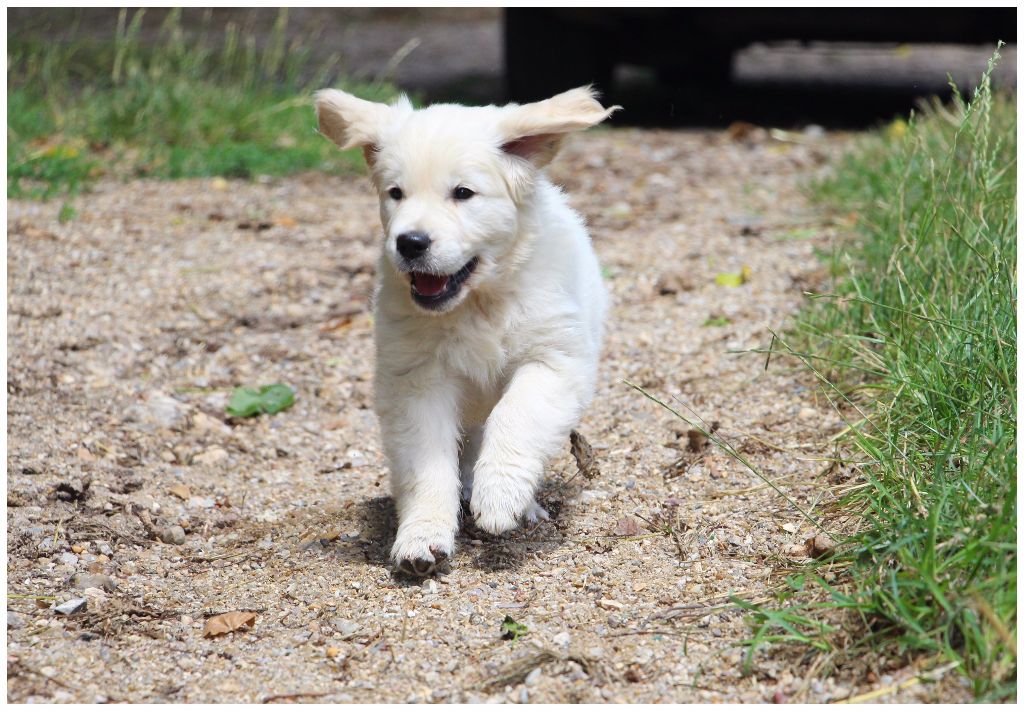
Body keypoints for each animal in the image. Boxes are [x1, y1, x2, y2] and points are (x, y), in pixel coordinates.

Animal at [315, 86, 618, 575]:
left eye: (463, 193)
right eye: (396, 193)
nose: (410, 242)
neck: (479, 302)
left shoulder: (554, 362)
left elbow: (518, 414)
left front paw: (501, 496)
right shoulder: (417, 382)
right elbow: (427, 466)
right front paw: (422, 535)